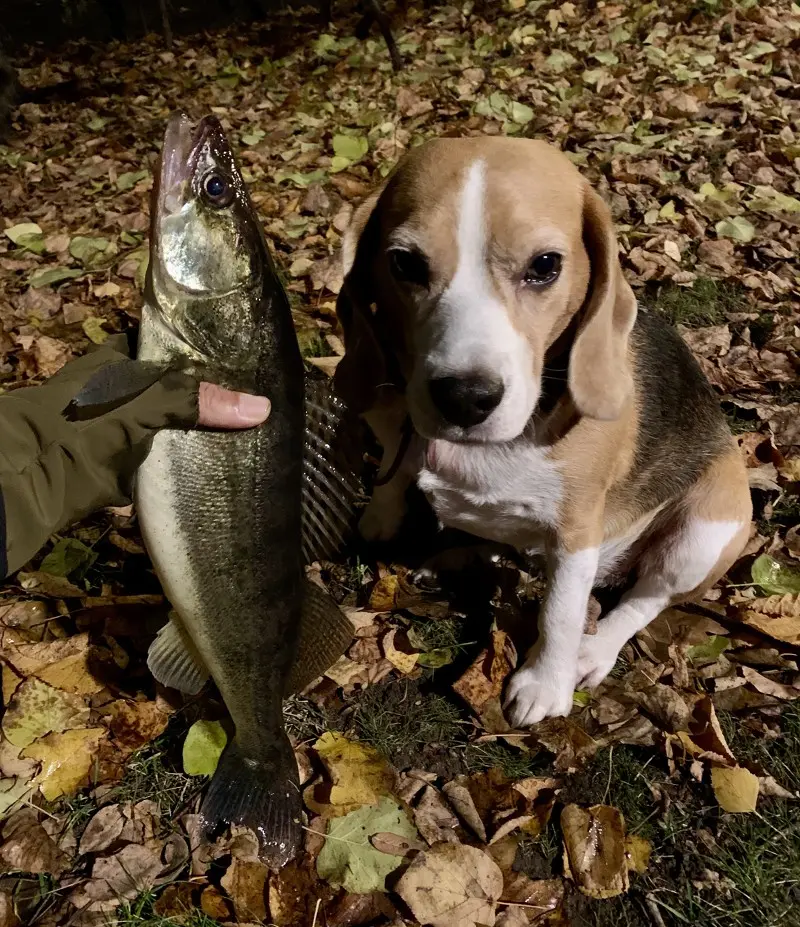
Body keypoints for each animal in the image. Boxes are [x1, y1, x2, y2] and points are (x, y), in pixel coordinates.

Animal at [334, 140, 752, 732]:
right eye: (405, 263)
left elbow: (560, 612)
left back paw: (592, 651)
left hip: (706, 531)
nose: (465, 397)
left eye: (545, 266)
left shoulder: (576, 530)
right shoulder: (393, 414)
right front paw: (380, 517)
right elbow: (394, 468)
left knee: (645, 599)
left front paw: (544, 684)